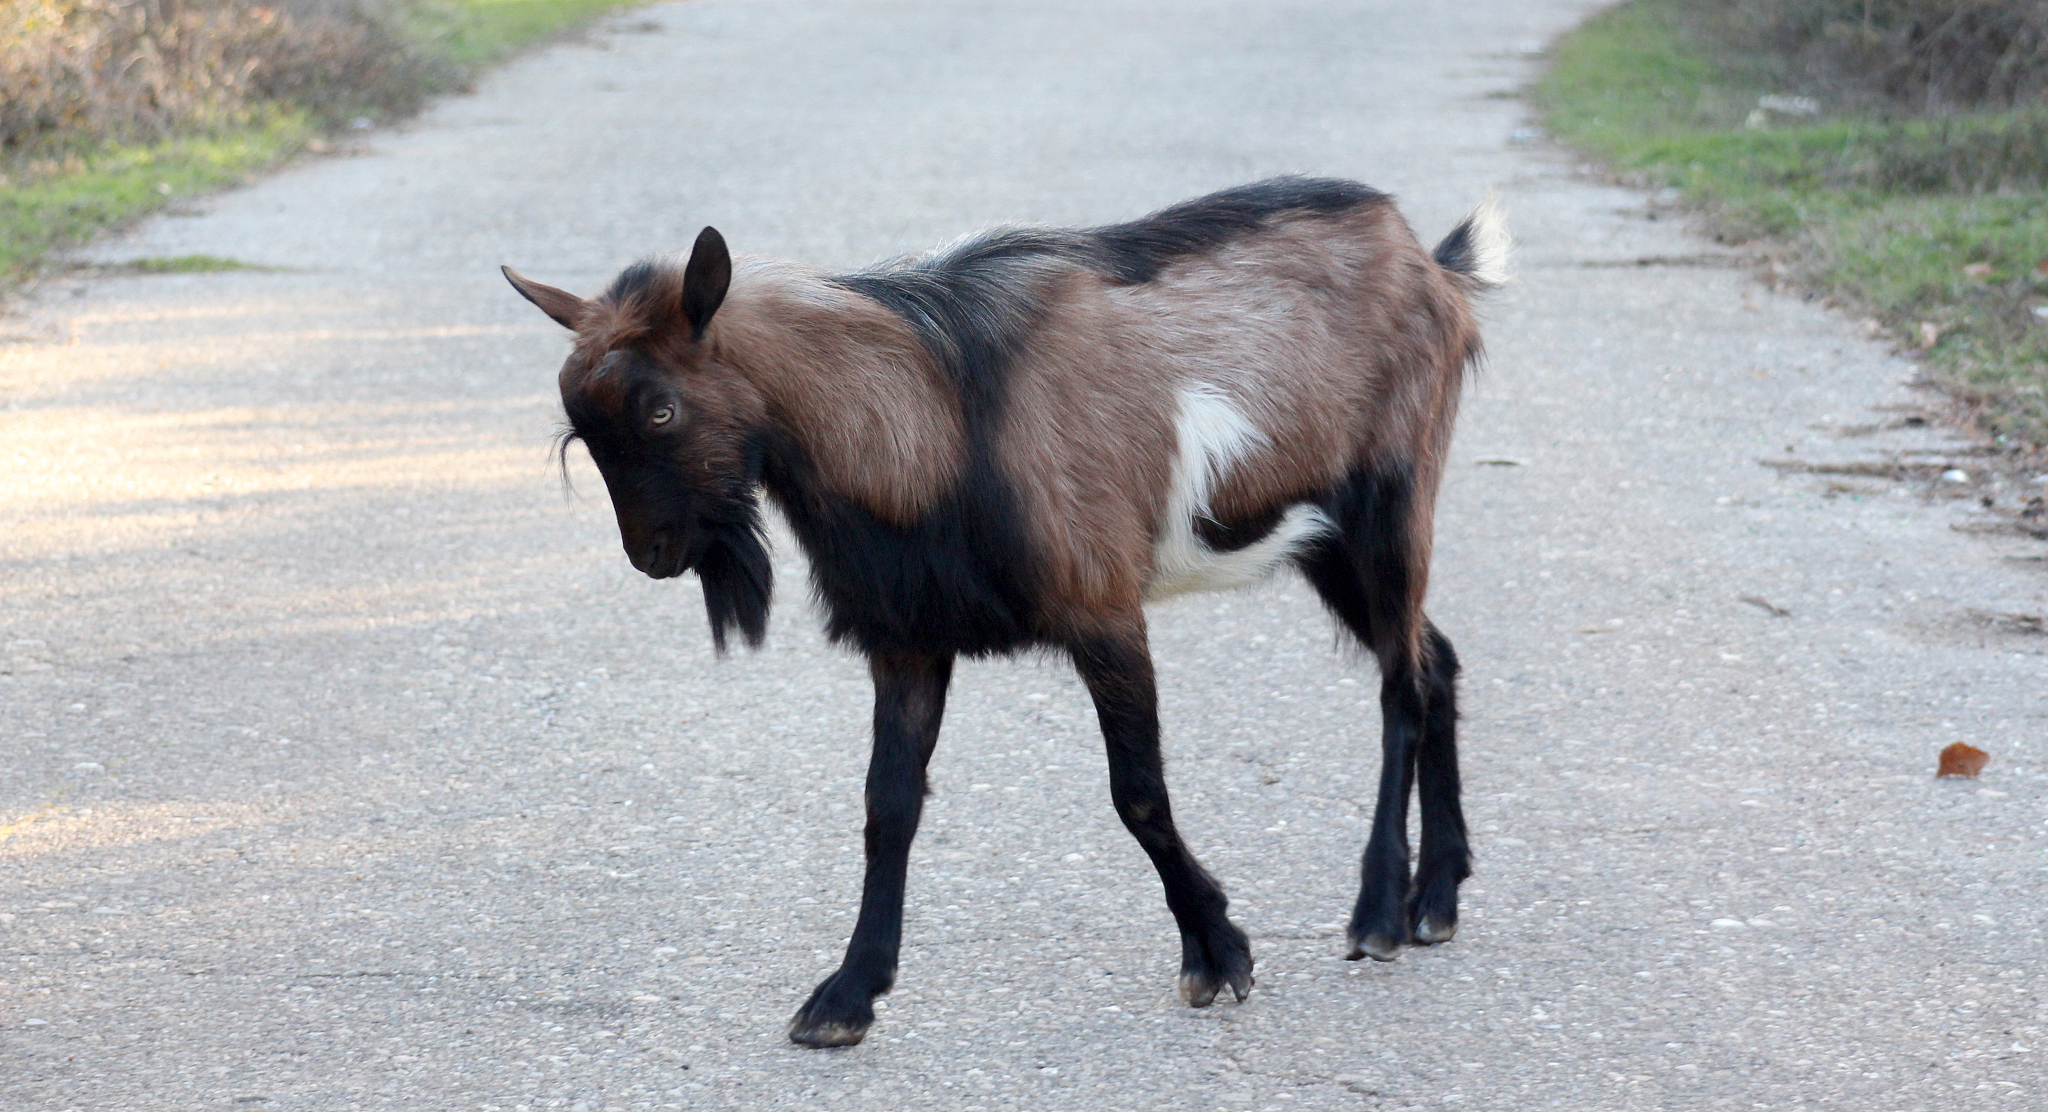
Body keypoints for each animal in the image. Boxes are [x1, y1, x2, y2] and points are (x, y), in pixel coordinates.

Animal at [503, 177, 1506, 1048]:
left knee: (1400, 686)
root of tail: (1433, 266)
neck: (937, 422)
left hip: (1388, 502)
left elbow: (1138, 792)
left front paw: (1217, 953)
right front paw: (846, 996)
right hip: (1326, 543)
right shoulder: (909, 636)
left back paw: (1378, 912)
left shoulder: (1102, 608)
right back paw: (1436, 900)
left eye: (660, 411)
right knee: (1434, 659)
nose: (654, 555)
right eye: (583, 430)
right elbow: (887, 805)